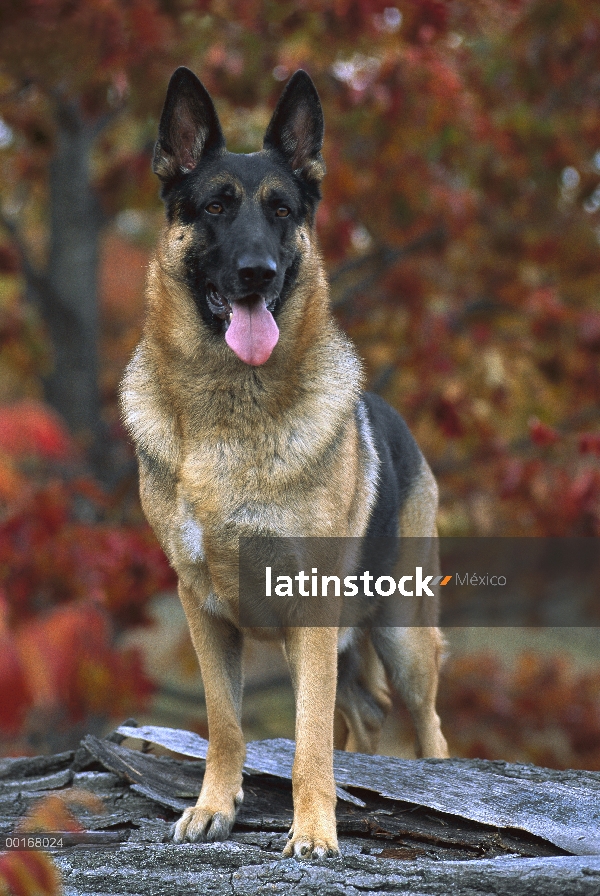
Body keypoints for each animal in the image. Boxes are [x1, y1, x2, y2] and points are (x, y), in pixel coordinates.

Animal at [120, 66, 446, 856]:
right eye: (214, 207)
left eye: (281, 211)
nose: (257, 273)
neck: (229, 412)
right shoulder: (203, 608)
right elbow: (227, 722)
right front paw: (215, 806)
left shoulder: (313, 611)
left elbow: (307, 738)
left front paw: (315, 829)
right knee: (365, 712)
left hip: (403, 634)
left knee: (425, 723)